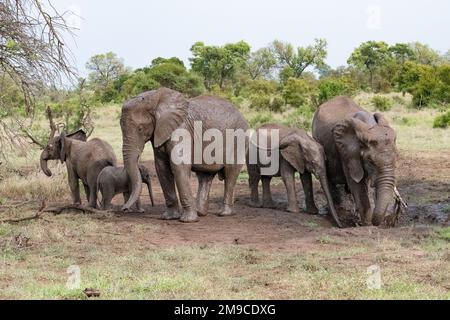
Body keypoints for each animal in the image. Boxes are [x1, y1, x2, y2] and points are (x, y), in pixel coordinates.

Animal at [119, 87, 250, 222]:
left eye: (140, 128)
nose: (124, 209)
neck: (155, 100)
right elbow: (162, 168)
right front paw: (169, 217)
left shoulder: (181, 129)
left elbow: (179, 166)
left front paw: (188, 220)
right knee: (205, 176)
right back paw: (201, 213)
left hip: (239, 139)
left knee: (230, 173)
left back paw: (224, 213)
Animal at [312, 96, 398, 226]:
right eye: (370, 161)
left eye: (397, 157)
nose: (387, 221)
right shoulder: (345, 151)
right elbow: (357, 183)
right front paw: (366, 223)